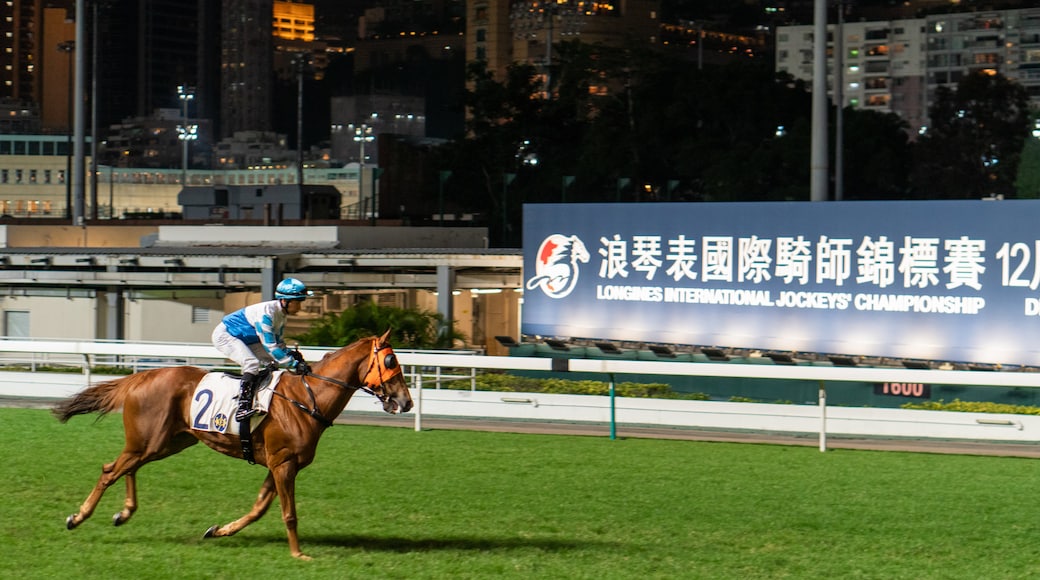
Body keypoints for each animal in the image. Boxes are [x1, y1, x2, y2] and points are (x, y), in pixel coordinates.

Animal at [50, 332, 409, 565]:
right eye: (391, 360)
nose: (406, 402)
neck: (308, 398)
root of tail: (141, 377)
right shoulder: (283, 464)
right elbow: (289, 513)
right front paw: (298, 553)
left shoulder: (278, 465)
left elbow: (258, 509)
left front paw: (219, 530)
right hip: (151, 442)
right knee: (110, 470)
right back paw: (78, 517)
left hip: (165, 442)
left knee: (127, 468)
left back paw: (124, 512)